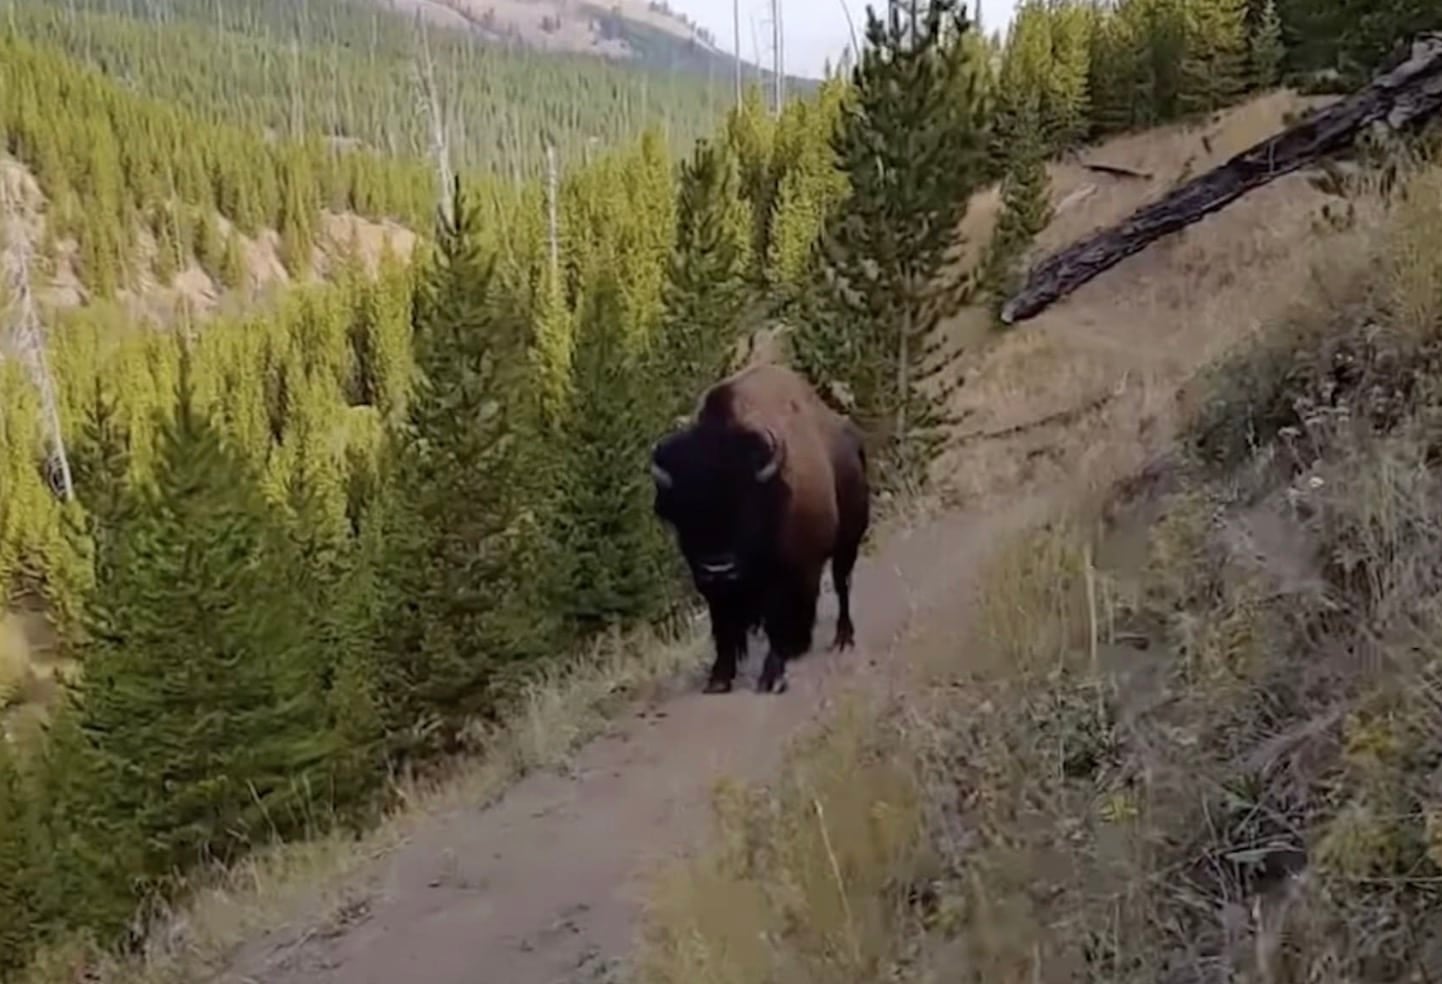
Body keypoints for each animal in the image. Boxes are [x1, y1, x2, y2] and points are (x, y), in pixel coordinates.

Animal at [649, 364, 870, 694]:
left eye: (748, 510)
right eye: (684, 517)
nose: (719, 568)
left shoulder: (784, 577)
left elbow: (776, 621)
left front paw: (772, 677)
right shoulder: (712, 588)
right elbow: (724, 628)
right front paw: (718, 679)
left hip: (848, 543)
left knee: (842, 586)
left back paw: (842, 639)